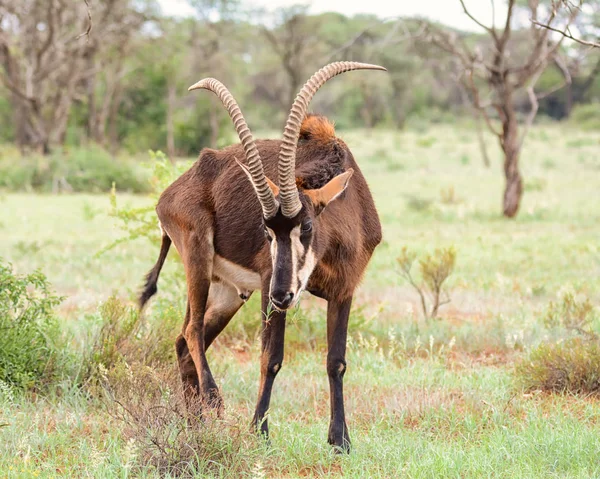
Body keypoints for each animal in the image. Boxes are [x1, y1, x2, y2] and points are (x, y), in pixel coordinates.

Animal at [140, 62, 384, 452]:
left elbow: (336, 361)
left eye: (307, 226)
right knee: (192, 331)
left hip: (229, 292)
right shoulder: (270, 283)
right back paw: (212, 402)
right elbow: (271, 358)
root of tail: (171, 191)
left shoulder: (345, 289)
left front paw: (340, 440)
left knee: (183, 342)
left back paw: (195, 427)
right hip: (199, 260)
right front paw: (260, 431)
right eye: (267, 231)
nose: (283, 295)